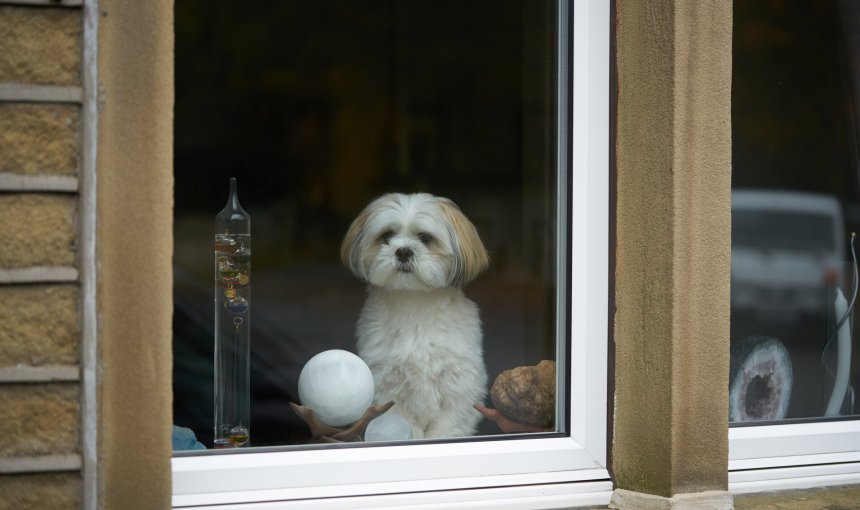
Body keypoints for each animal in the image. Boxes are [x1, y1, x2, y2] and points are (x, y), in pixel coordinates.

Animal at [342, 192, 490, 438]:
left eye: (425, 238)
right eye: (387, 236)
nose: (403, 251)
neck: (415, 303)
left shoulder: (459, 387)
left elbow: (447, 429)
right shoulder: (388, 388)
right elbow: (403, 425)